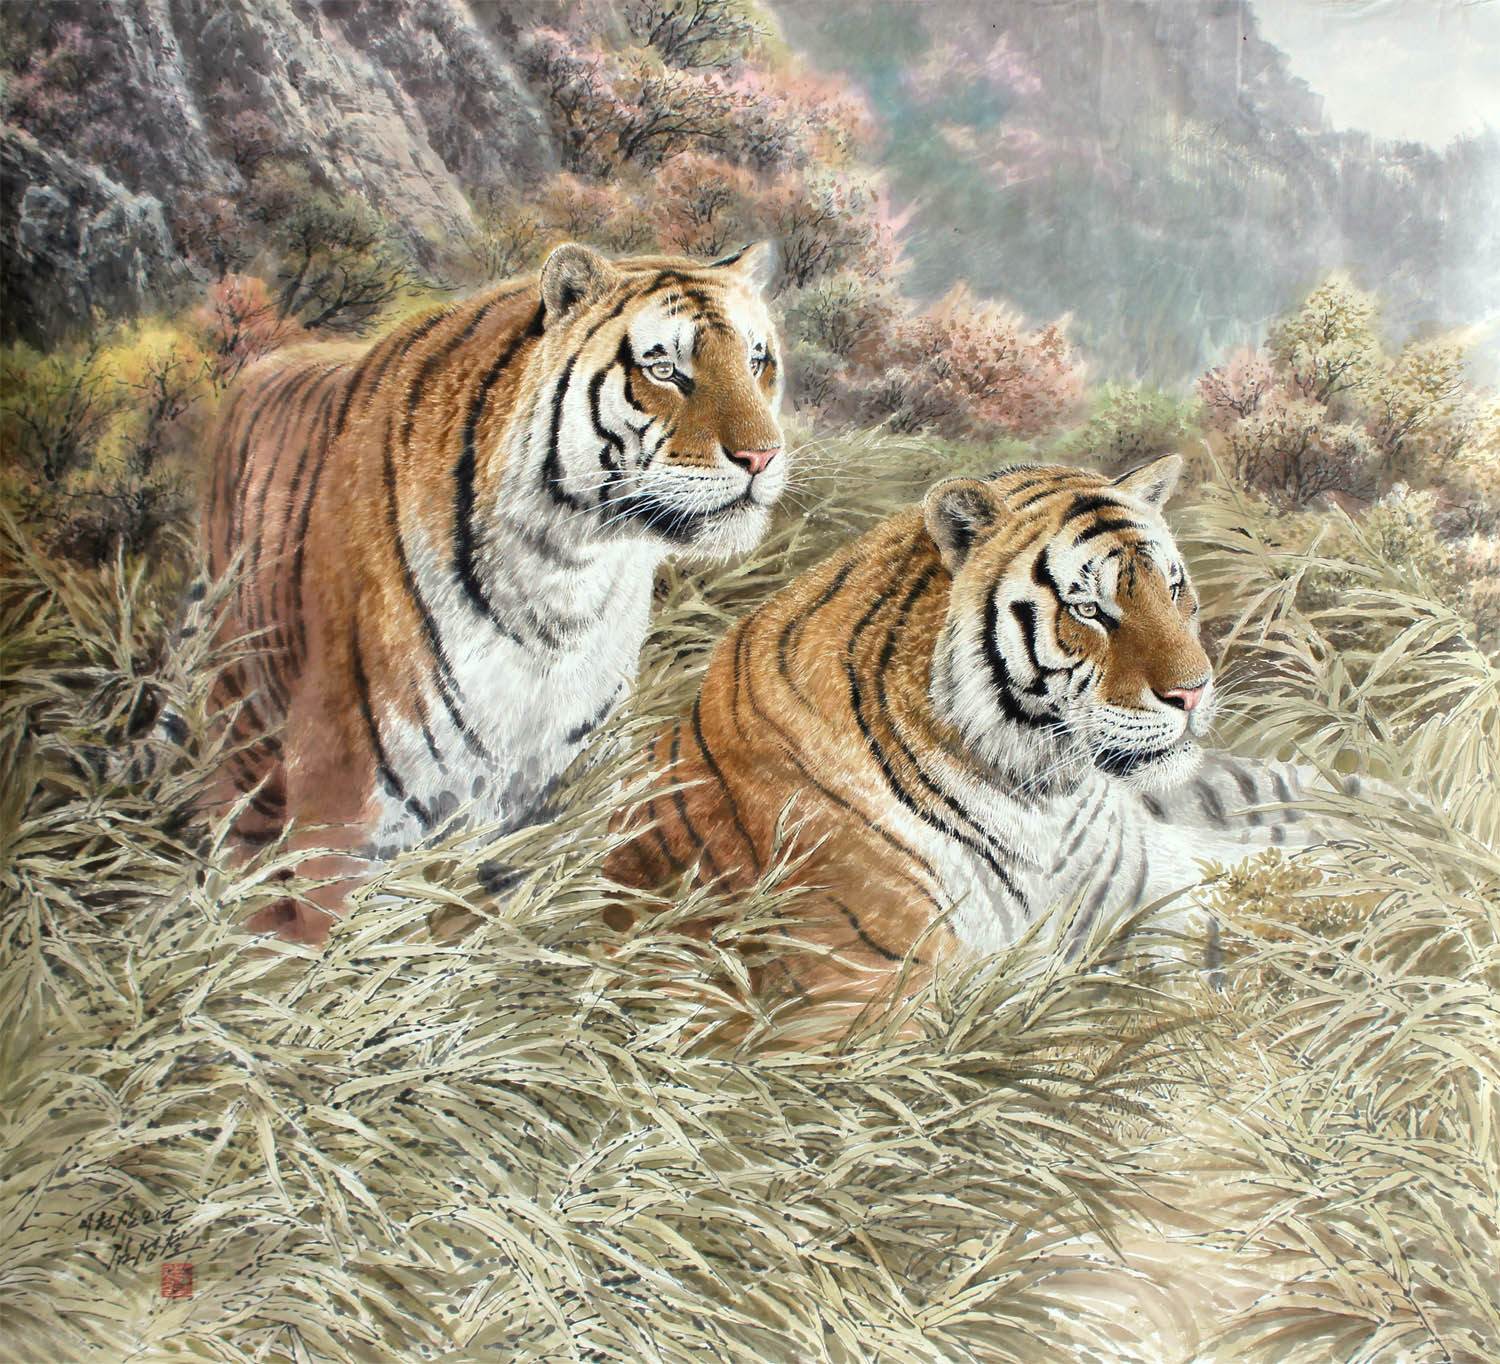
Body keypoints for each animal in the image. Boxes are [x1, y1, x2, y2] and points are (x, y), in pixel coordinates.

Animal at [204, 241, 786, 941]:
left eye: (757, 361)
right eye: (665, 368)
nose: (763, 456)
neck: (566, 578)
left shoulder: (548, 809)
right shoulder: (341, 811)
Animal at [605, 454, 1358, 1003]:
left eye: (1172, 588)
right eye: (1088, 608)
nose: (1194, 692)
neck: (1044, 797)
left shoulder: (1148, 886)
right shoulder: (865, 995)